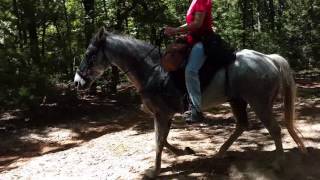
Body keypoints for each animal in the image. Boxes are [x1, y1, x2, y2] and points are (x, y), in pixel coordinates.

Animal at [74, 27, 306, 178]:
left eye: (89, 53)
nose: (77, 82)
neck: (154, 71)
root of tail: (269, 59)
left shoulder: (162, 114)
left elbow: (158, 140)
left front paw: (154, 170)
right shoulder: (164, 114)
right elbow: (164, 139)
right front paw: (183, 151)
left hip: (259, 103)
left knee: (274, 129)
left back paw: (278, 164)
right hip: (237, 101)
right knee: (242, 125)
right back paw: (220, 153)